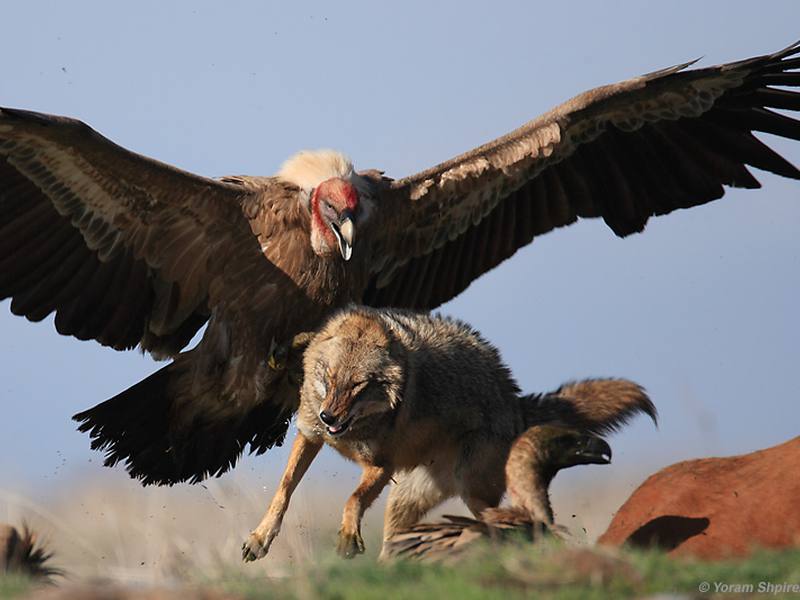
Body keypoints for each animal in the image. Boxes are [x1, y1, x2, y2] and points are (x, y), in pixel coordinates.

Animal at [242, 305, 656, 561]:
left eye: (358, 385)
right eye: (328, 378)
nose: (329, 416)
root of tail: (514, 400)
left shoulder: (380, 466)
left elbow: (352, 500)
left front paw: (347, 537)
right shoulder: (310, 436)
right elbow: (283, 491)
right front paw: (259, 539)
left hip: (472, 492)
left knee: (511, 519)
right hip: (405, 501)